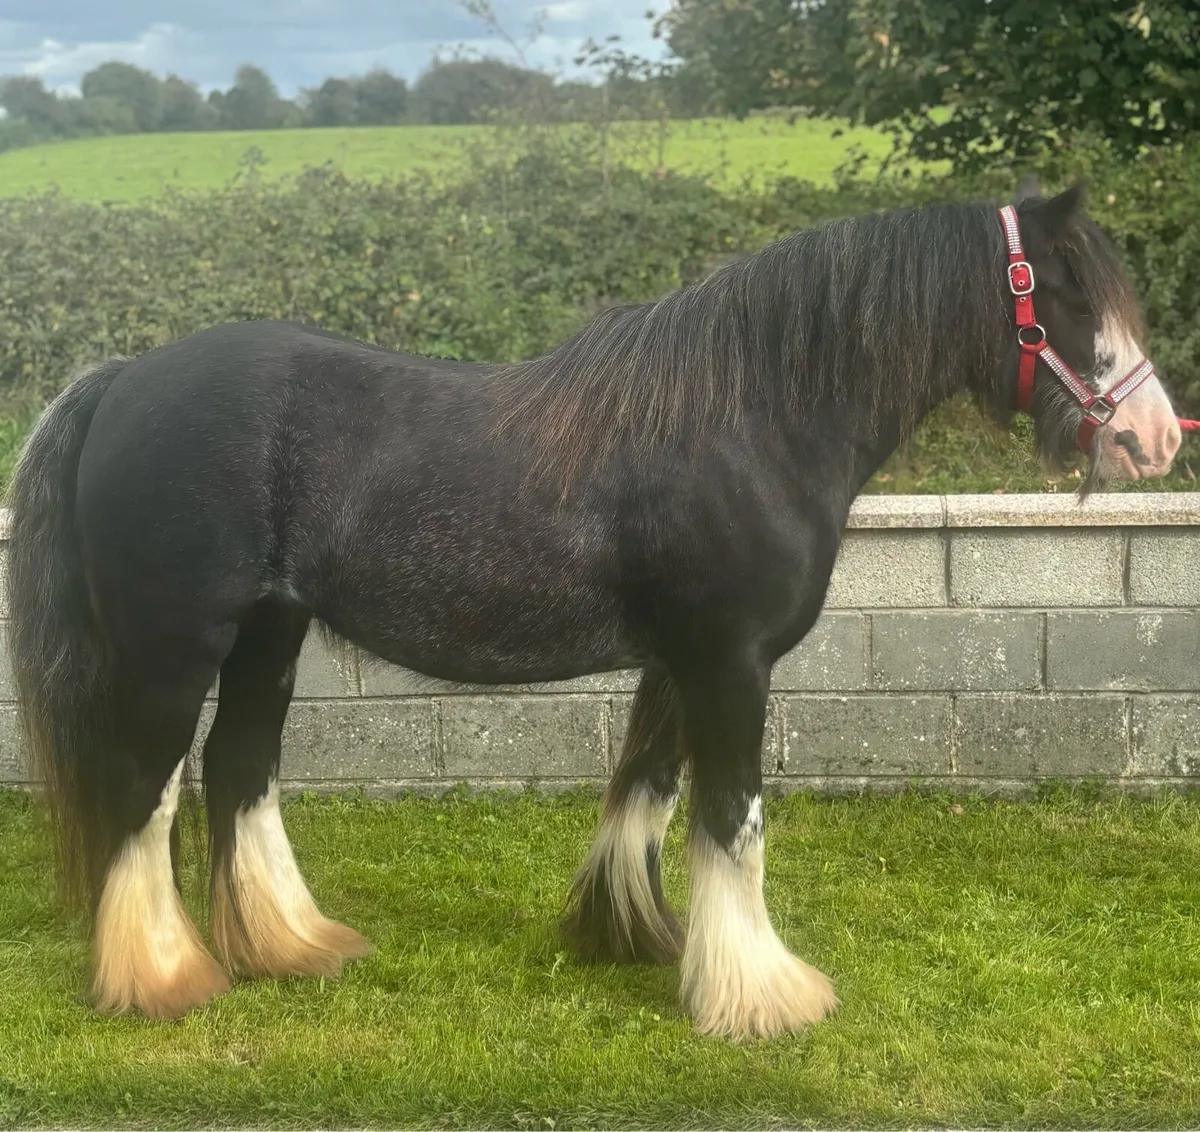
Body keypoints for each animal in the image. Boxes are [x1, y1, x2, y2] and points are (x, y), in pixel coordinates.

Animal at [6, 179, 1182, 1041]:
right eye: (1070, 295)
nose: (1156, 440)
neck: (751, 414)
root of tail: (124, 377)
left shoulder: (683, 662)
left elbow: (649, 793)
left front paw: (636, 938)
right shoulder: (730, 663)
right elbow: (734, 818)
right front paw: (762, 998)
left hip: (270, 635)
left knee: (240, 771)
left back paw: (289, 947)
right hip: (174, 649)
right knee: (145, 793)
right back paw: (162, 979)